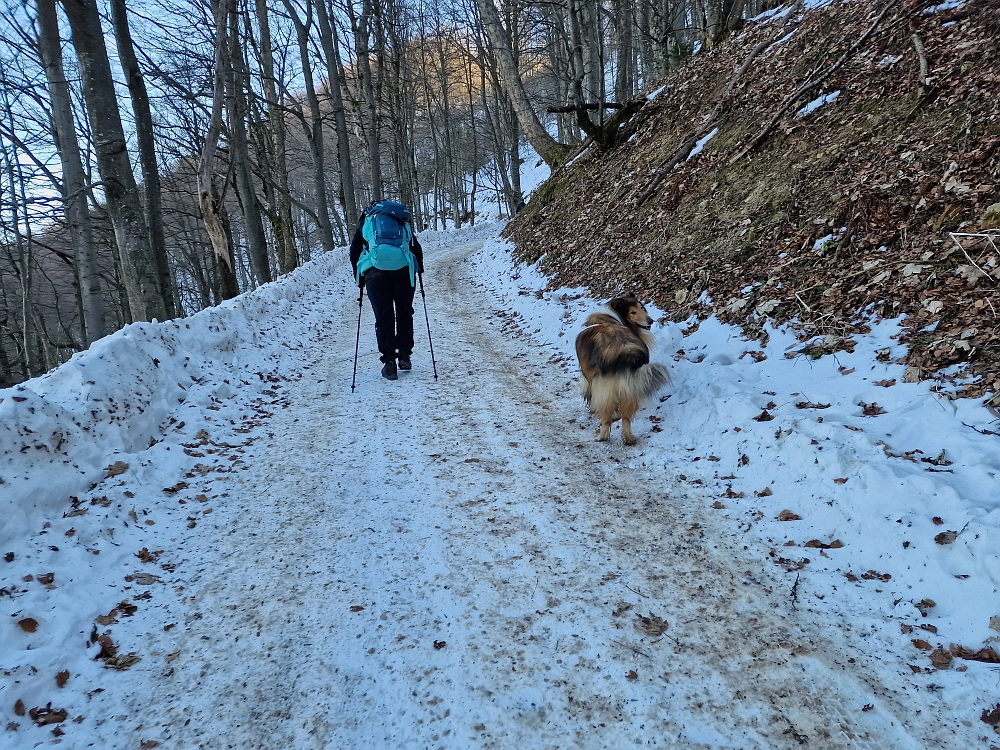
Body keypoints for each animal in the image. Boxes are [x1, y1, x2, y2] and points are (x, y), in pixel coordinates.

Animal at [576, 294, 668, 446]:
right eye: (633, 312)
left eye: (641, 308)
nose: (650, 320)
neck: (610, 316)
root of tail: (624, 351)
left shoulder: (588, 377)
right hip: (630, 387)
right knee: (626, 418)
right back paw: (628, 438)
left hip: (606, 386)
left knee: (606, 417)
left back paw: (602, 436)